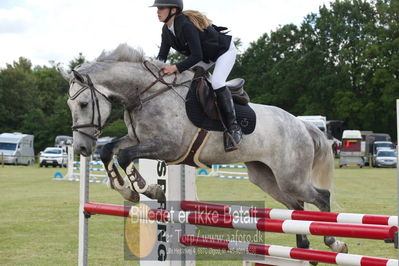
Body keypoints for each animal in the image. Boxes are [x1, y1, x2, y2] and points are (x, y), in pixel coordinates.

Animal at [64, 43, 348, 254]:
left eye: (84, 104)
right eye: (71, 105)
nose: (81, 147)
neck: (146, 93)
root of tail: (302, 125)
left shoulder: (168, 147)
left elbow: (124, 156)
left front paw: (150, 189)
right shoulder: (137, 139)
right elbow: (110, 151)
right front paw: (126, 190)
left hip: (291, 177)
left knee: (321, 197)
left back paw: (334, 243)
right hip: (266, 177)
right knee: (296, 206)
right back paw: (303, 245)